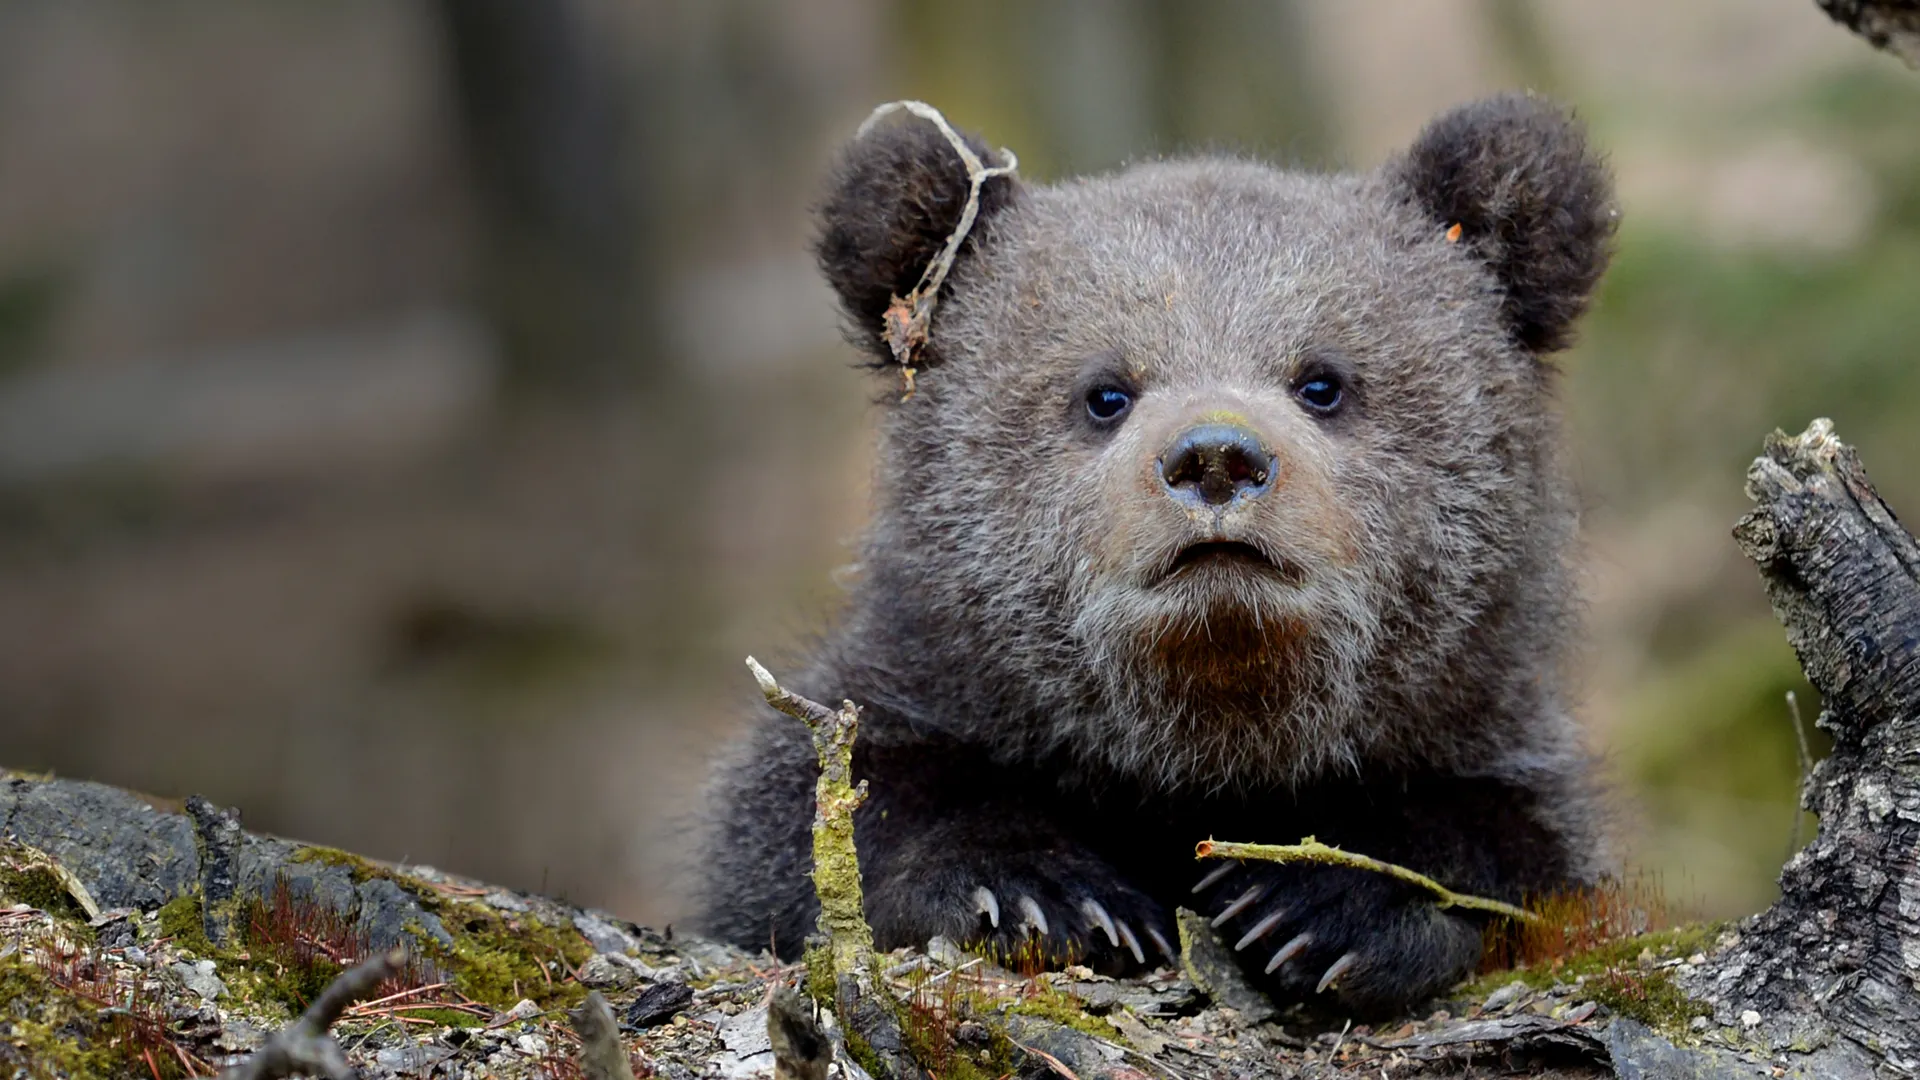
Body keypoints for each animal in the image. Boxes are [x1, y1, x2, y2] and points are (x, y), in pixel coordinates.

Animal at [699, 93, 1616, 1015]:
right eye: (1105, 392)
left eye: (1323, 381)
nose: (1216, 457)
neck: (1196, 746)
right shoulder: (932, 685)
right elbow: (840, 799)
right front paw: (1045, 893)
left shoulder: (1478, 724)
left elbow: (1504, 837)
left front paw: (1319, 901)